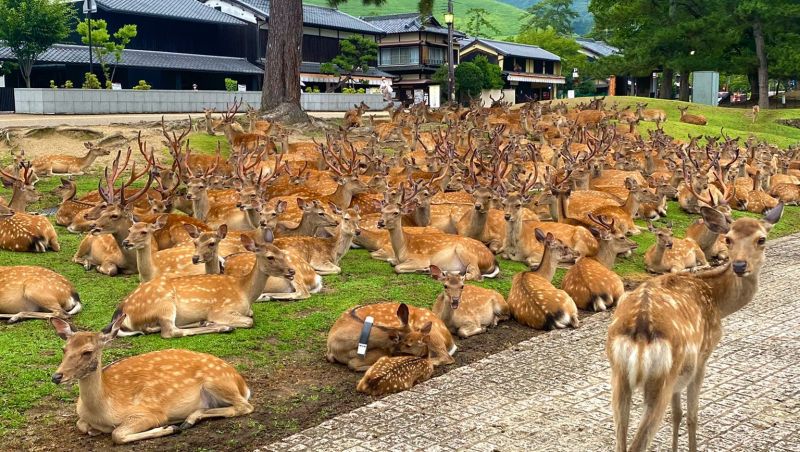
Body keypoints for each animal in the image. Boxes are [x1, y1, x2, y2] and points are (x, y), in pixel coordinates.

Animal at [48, 314, 253, 444]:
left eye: (87, 352)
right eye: (64, 349)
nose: (56, 376)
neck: (102, 410)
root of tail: (242, 383)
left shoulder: (149, 412)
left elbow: (117, 434)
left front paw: (169, 429)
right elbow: (81, 424)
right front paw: (92, 429)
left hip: (217, 381)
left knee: (245, 406)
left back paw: (184, 421)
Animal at [324, 302, 456, 372]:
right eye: (409, 344)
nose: (425, 354)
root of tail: (449, 339)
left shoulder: (381, 351)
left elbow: (353, 364)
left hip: (433, 334)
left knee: (447, 357)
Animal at [608, 204, 784, 452]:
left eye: (761, 239)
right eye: (728, 239)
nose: (740, 265)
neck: (718, 303)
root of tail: (639, 330)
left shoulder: (680, 375)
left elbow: (677, 414)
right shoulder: (702, 356)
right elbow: (692, 416)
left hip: (619, 375)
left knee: (621, 440)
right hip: (661, 377)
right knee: (638, 444)